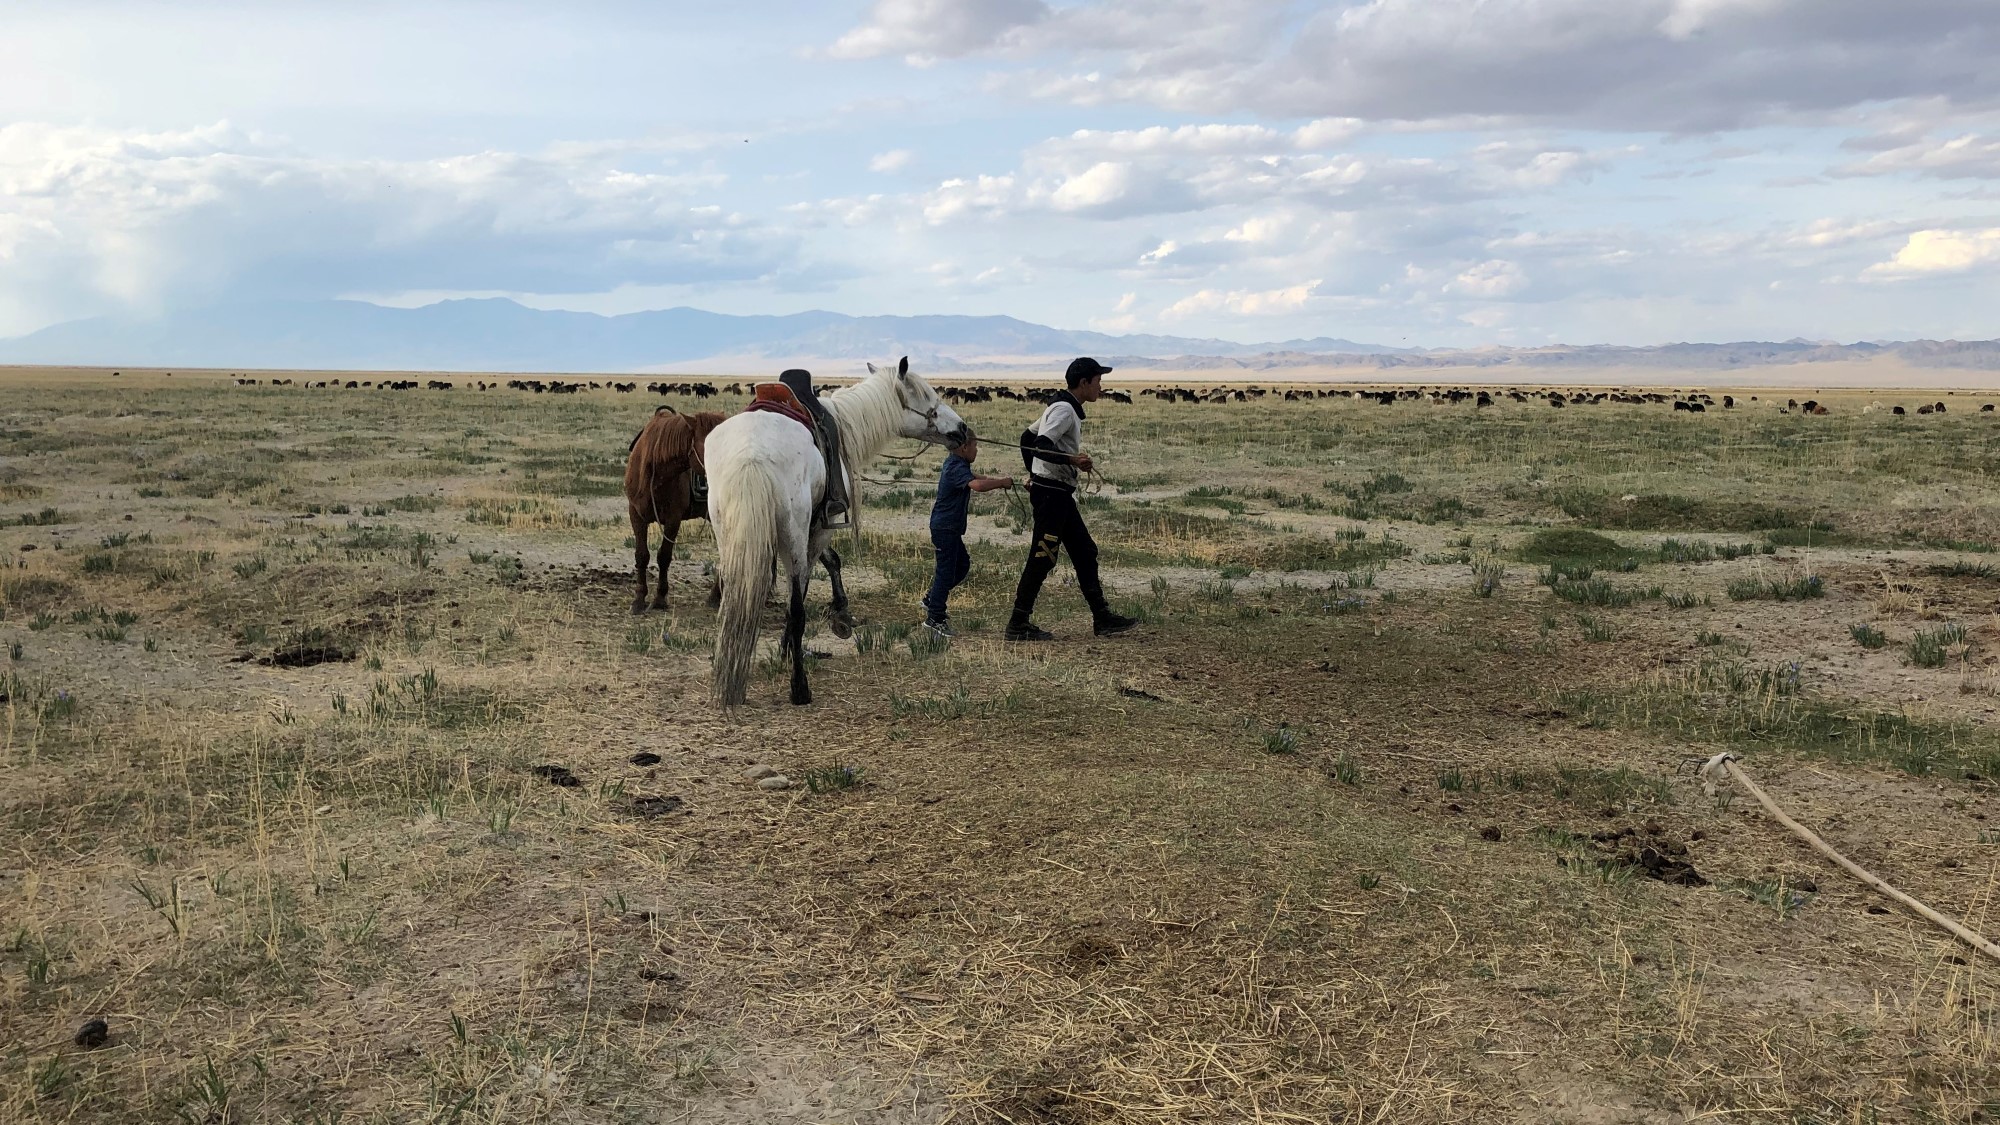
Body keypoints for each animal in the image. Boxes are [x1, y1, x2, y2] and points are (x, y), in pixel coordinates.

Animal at [624, 404, 728, 608]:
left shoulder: (673, 520)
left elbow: (664, 556)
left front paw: (660, 598)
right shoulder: (636, 515)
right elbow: (641, 555)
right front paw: (639, 598)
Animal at [708, 354, 972, 704]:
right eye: (927, 396)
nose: (962, 429)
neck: (842, 423)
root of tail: (752, 454)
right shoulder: (819, 529)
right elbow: (805, 590)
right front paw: (795, 648)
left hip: (728, 533)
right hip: (792, 534)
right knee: (796, 607)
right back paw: (800, 688)